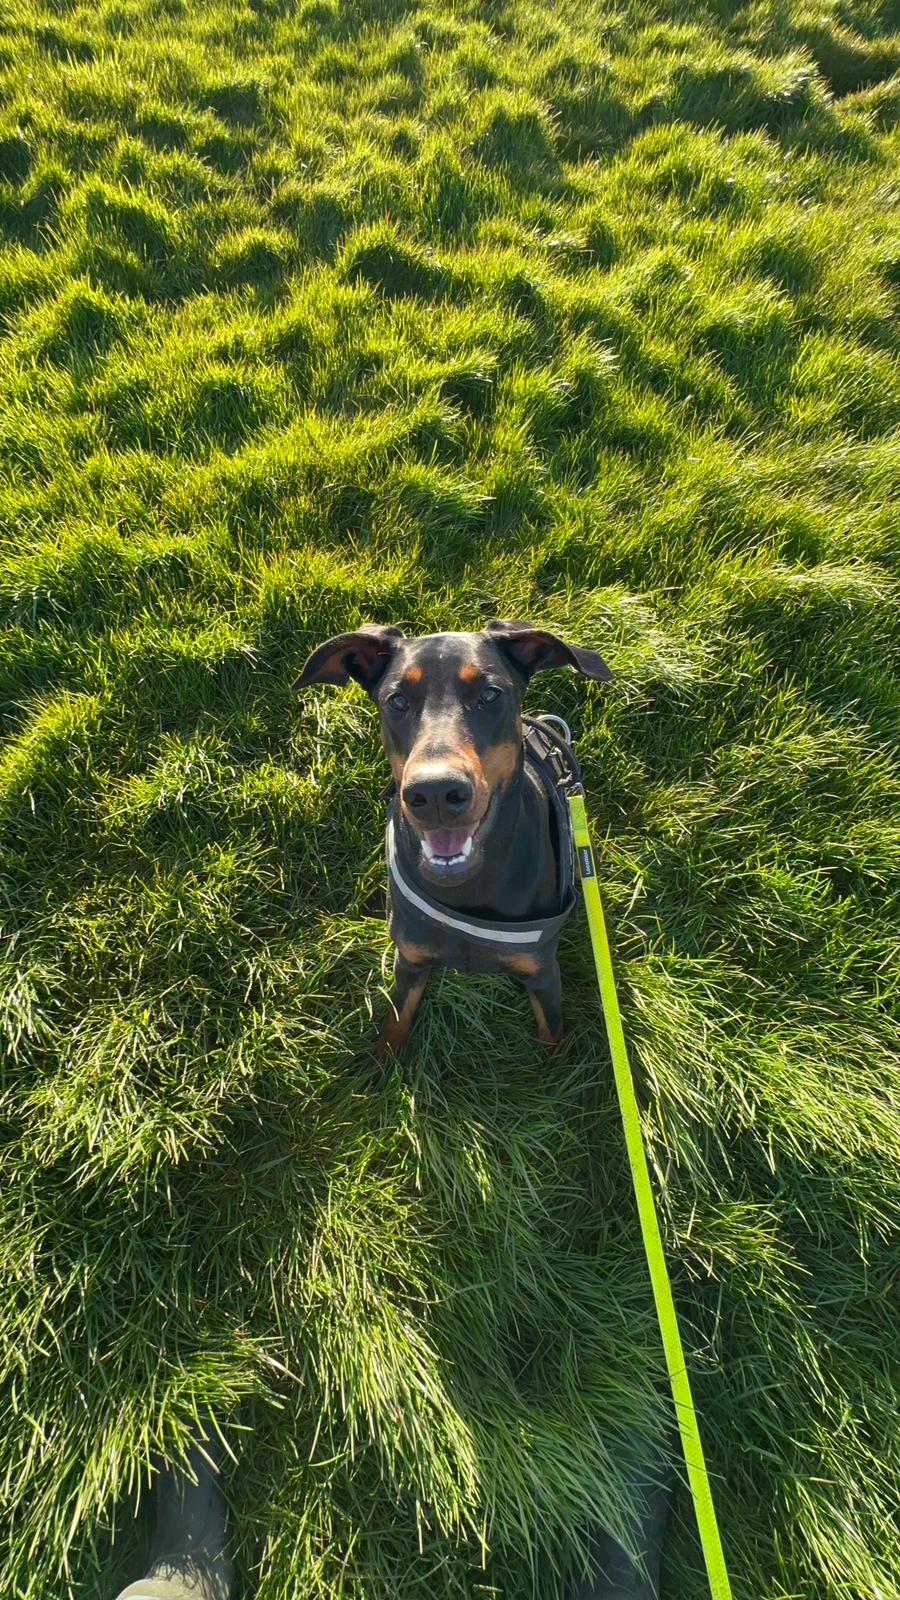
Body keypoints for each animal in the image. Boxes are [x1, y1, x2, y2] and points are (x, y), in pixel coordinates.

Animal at [294, 621, 611, 1053]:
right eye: (396, 700)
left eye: (490, 694)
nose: (436, 793)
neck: (466, 892)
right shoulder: (409, 961)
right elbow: (394, 1026)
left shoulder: (543, 973)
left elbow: (553, 1039)